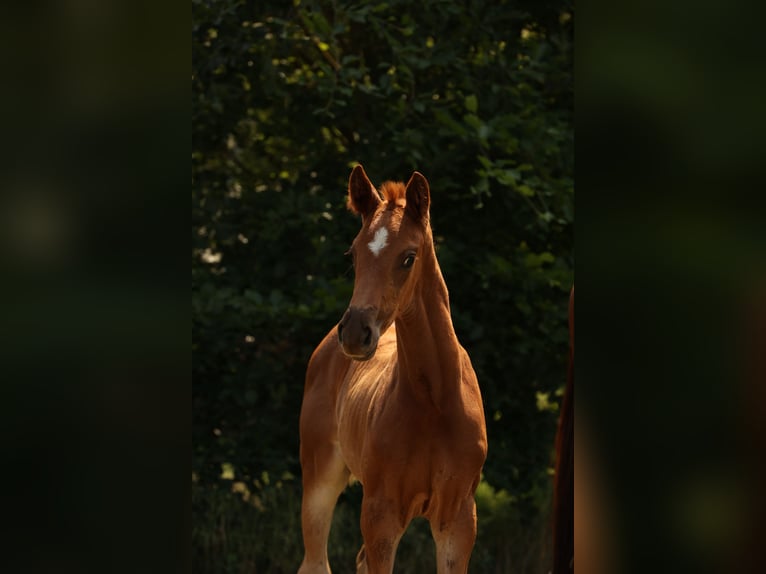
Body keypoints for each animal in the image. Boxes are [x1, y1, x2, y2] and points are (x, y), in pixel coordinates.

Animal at [296, 164, 488, 572]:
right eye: (353, 254)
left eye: (408, 257)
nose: (355, 332)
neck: (435, 401)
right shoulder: (381, 514)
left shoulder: (459, 519)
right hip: (319, 479)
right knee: (316, 561)